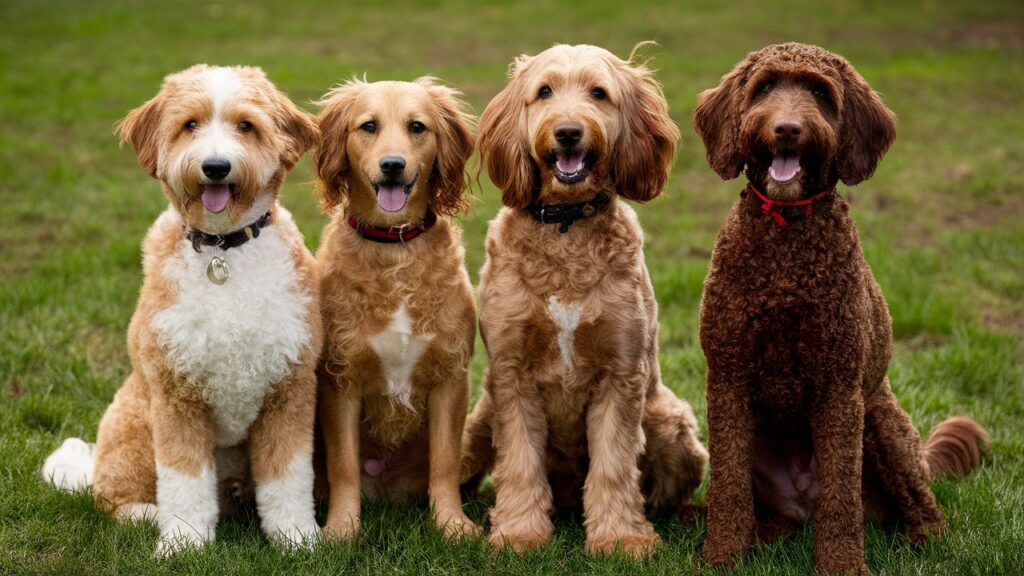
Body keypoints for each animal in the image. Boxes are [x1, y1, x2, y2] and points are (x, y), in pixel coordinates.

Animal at [40, 65, 319, 553]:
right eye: (190, 124)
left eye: (246, 125)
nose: (216, 167)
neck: (223, 252)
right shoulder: (175, 397)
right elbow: (185, 481)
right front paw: (183, 545)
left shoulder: (289, 391)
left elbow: (288, 478)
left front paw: (297, 538)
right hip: (132, 426)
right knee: (113, 500)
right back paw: (149, 517)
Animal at [311, 76, 479, 537]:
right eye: (369, 126)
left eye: (417, 127)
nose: (392, 165)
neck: (394, 246)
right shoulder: (341, 380)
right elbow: (344, 467)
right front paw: (342, 529)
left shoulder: (451, 378)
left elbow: (444, 463)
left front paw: (451, 524)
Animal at [460, 43, 708, 557]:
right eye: (544, 92)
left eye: (598, 93)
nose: (568, 132)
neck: (565, 225)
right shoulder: (511, 376)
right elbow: (519, 463)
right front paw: (519, 533)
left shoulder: (621, 374)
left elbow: (614, 466)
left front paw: (620, 539)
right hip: (476, 425)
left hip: (670, 421)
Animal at [692, 42, 987, 569]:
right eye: (765, 87)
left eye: (818, 93)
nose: (788, 128)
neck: (786, 244)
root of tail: (799, 506)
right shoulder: (727, 378)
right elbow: (728, 484)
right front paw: (721, 556)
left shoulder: (840, 388)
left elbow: (841, 493)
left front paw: (843, 566)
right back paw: (758, 536)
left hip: (883, 424)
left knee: (925, 509)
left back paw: (926, 544)